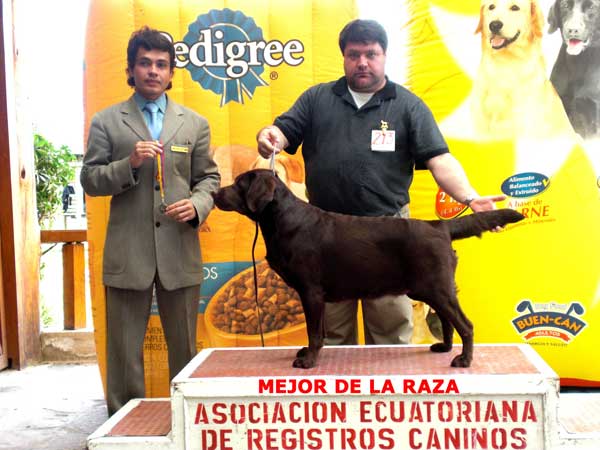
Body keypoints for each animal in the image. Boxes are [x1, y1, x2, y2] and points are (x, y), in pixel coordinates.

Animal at [213, 169, 525, 369]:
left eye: (239, 183)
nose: (215, 192)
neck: (282, 219)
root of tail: (440, 225)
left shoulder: (311, 292)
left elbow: (314, 331)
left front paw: (308, 361)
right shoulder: (316, 297)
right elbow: (320, 332)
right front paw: (311, 353)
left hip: (436, 286)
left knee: (465, 324)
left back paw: (463, 360)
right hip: (430, 290)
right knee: (448, 321)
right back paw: (445, 347)